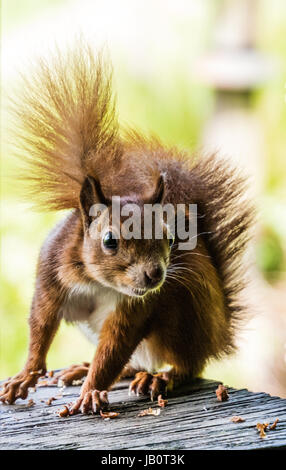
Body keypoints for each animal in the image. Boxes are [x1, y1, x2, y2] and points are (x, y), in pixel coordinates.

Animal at [1, 42, 254, 414]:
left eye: (169, 237)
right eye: (109, 241)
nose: (155, 275)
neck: (95, 281)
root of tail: (218, 334)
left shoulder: (136, 308)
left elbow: (114, 348)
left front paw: (92, 391)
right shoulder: (50, 276)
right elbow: (41, 325)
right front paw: (25, 376)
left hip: (183, 315)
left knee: (187, 364)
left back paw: (160, 378)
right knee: (133, 362)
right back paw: (85, 368)